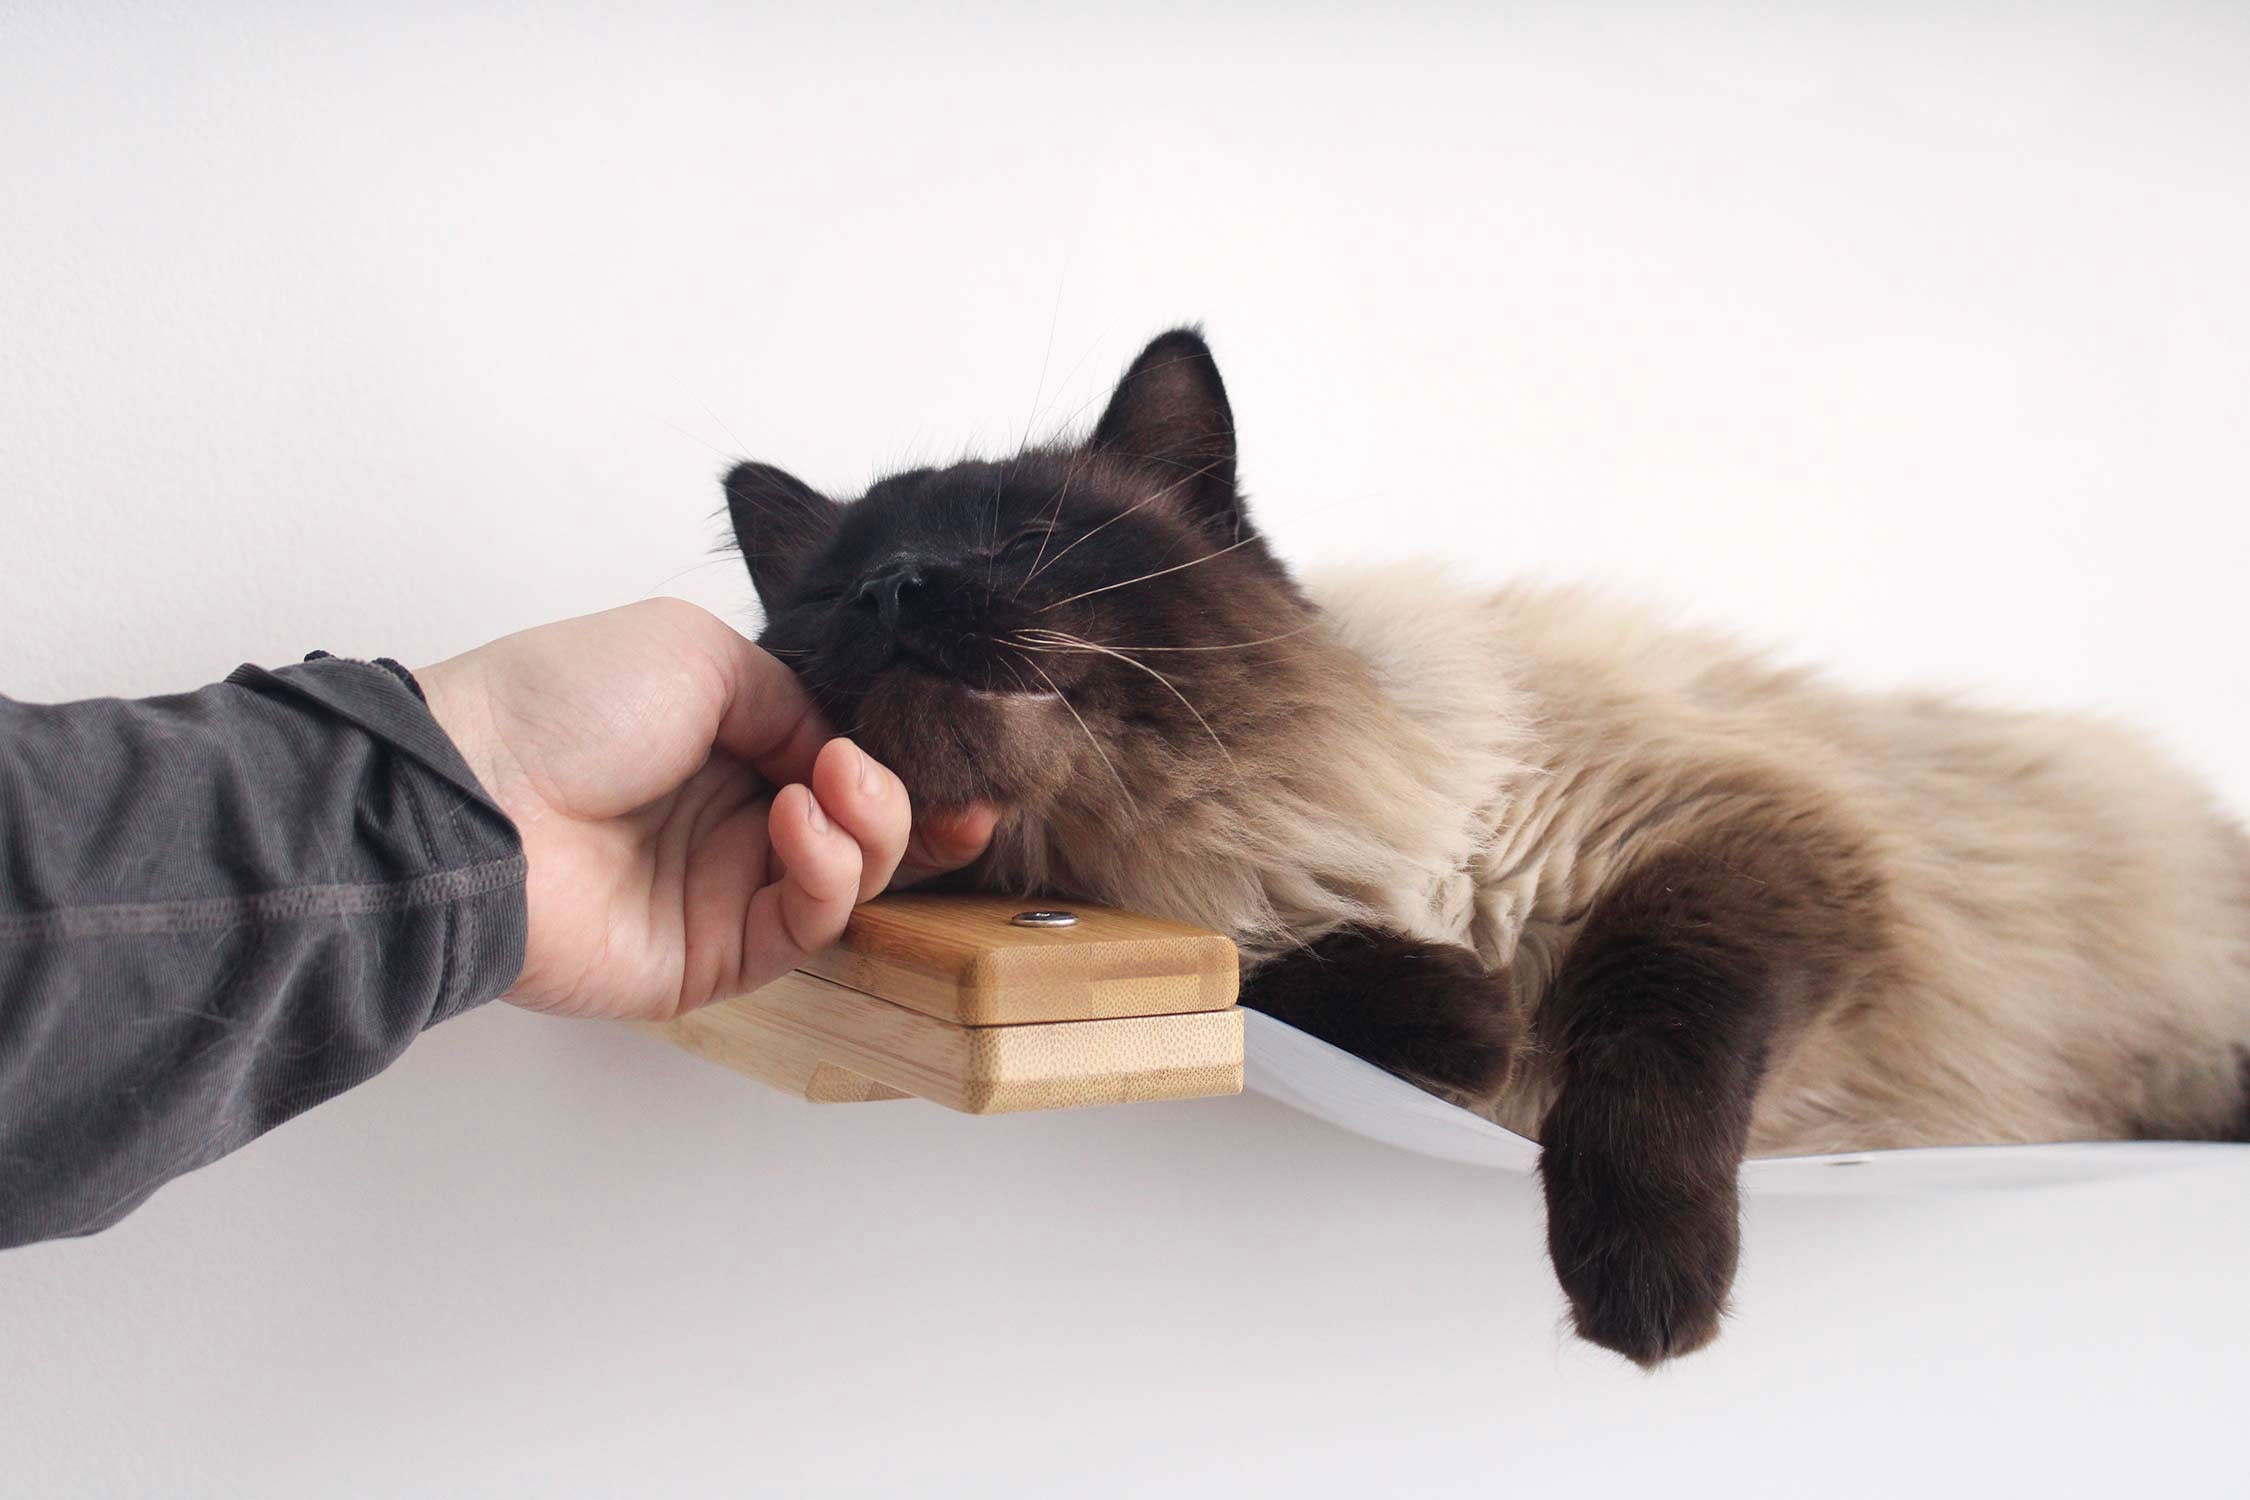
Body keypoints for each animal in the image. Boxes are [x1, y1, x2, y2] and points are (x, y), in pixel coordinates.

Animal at [724, 328, 2250, 1376]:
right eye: (837, 595)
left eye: (1029, 541)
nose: (900, 587)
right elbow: (1274, 971)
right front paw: (1465, 1014)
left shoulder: (1731, 844)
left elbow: (1642, 1028)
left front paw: (1645, 1292)